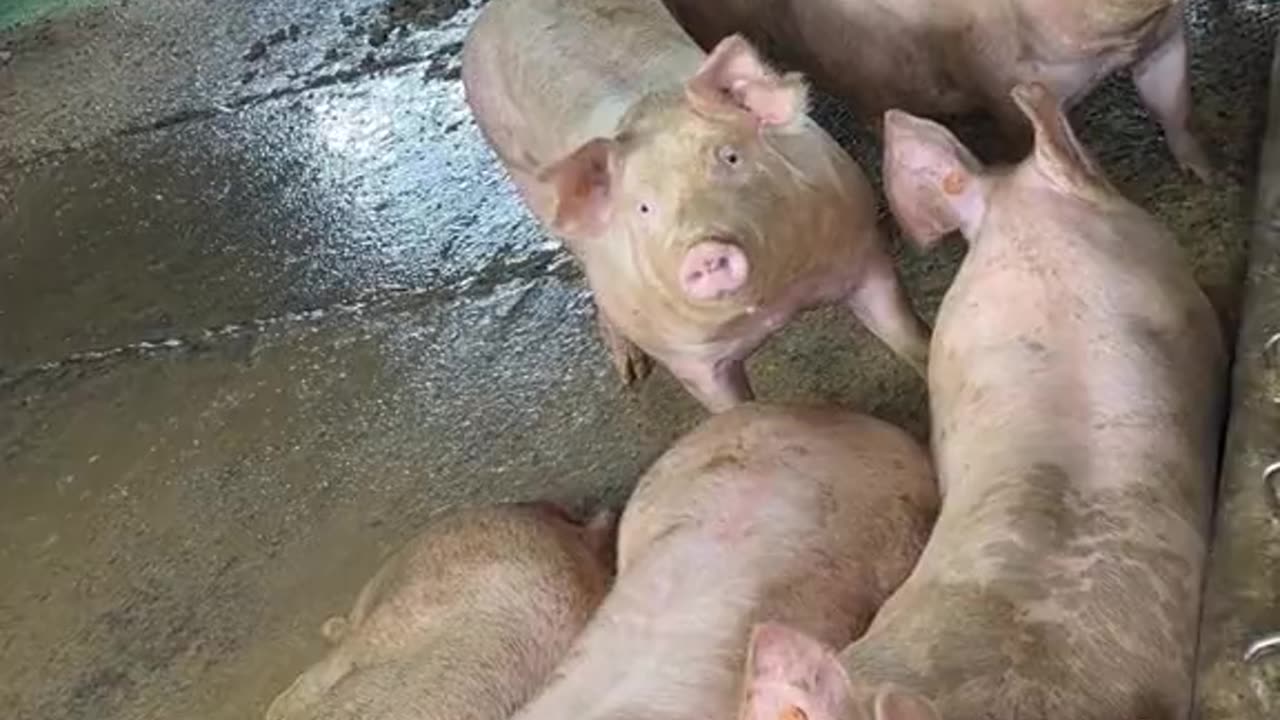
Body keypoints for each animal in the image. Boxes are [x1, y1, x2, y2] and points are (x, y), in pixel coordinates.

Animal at [462, 0, 932, 412]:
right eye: (643, 209)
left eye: (731, 157)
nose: (705, 249)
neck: (773, 304)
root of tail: (494, 12)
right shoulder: (688, 360)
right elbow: (730, 409)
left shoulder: (864, 256)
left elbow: (906, 333)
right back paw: (631, 373)